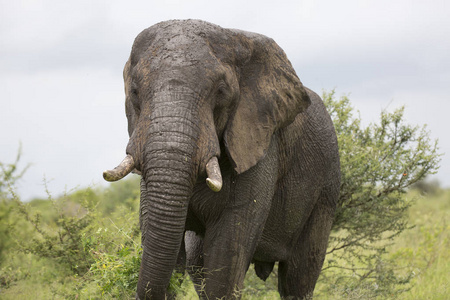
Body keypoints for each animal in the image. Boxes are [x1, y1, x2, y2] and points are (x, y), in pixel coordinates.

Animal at [103, 19, 340, 298]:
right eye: (135, 91)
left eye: (221, 92)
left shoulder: (259, 144)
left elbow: (226, 256)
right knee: (197, 264)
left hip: (325, 190)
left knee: (298, 278)